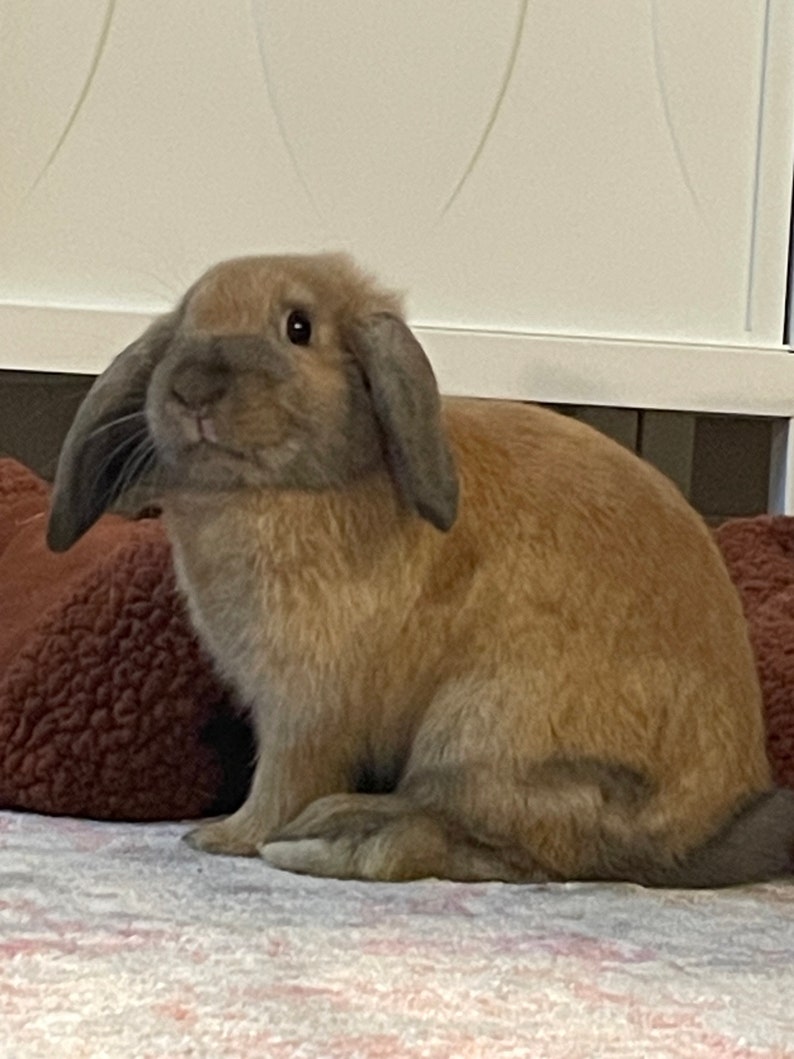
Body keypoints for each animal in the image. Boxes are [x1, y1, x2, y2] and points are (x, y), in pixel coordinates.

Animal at [48, 252, 794, 887]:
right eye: (184, 321)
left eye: (299, 327)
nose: (193, 389)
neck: (289, 490)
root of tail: (697, 834)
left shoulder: (306, 706)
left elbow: (284, 778)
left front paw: (223, 838)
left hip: (481, 731)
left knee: (507, 849)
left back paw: (336, 837)